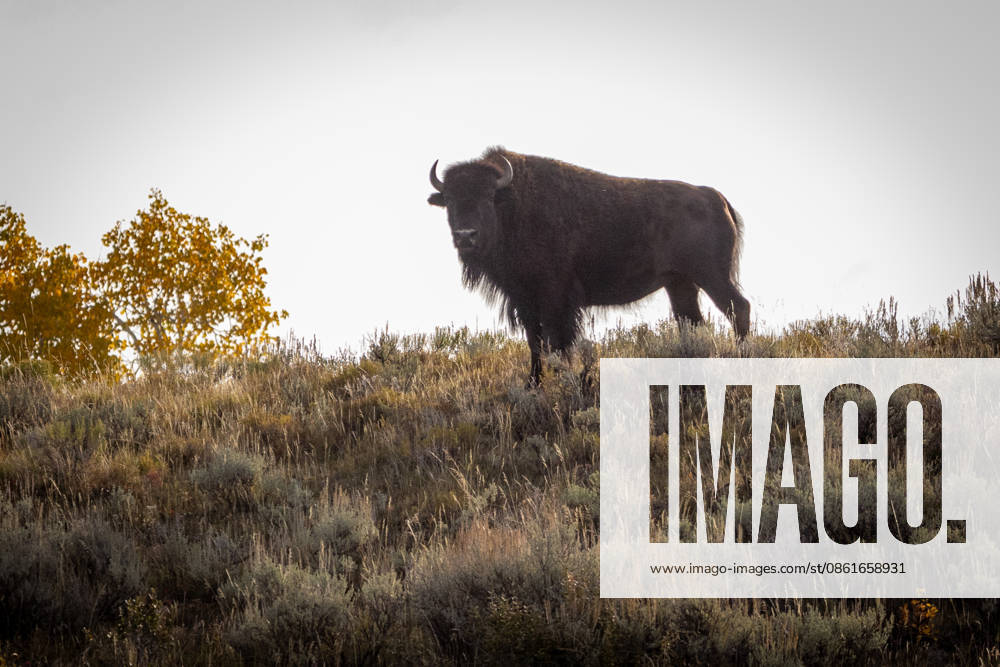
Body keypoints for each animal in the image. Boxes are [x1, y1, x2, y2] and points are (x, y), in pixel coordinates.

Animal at [427, 147, 750, 384]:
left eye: (487, 197)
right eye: (450, 200)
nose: (466, 235)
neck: (513, 206)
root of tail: (714, 197)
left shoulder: (555, 298)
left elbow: (556, 341)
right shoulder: (524, 300)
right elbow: (534, 341)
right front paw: (533, 383)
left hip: (712, 276)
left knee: (738, 308)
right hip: (680, 283)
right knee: (692, 322)